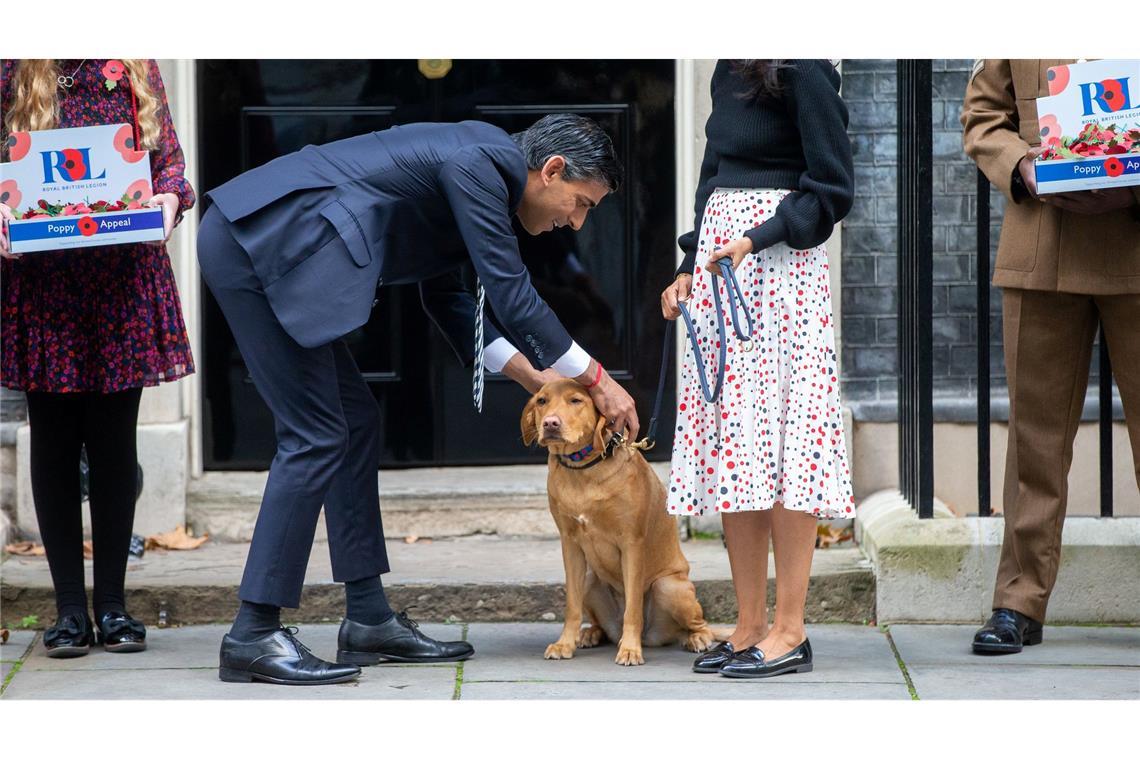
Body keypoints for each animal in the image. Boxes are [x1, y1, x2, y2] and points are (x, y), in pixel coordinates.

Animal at [522, 380, 725, 665]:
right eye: (541, 401)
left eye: (576, 400)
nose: (551, 423)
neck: (583, 469)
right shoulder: (570, 543)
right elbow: (572, 606)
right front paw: (564, 644)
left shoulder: (631, 544)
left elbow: (633, 608)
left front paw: (630, 649)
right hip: (590, 578)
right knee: (600, 621)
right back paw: (591, 633)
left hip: (668, 587)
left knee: (696, 624)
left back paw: (696, 638)